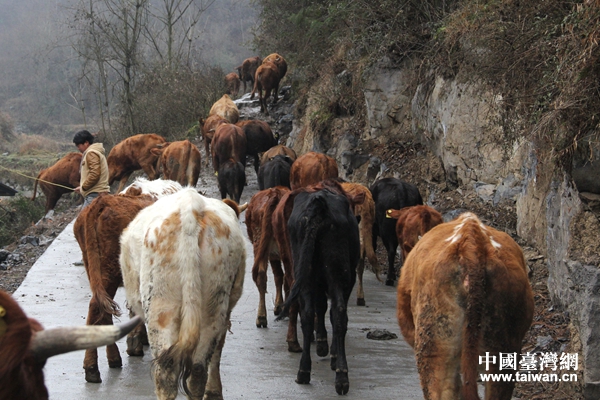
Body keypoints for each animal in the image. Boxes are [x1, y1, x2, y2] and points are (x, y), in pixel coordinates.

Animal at [73, 179, 180, 384]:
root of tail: (102, 202)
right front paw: (138, 340)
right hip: (110, 270)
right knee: (96, 308)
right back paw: (93, 367)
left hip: (94, 268)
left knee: (102, 308)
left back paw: (111, 358)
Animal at [276, 186, 360, 396]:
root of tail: (318, 204)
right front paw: (328, 349)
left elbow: (319, 308)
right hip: (339, 274)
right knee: (338, 313)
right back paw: (340, 373)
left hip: (304, 271)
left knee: (307, 314)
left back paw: (305, 371)